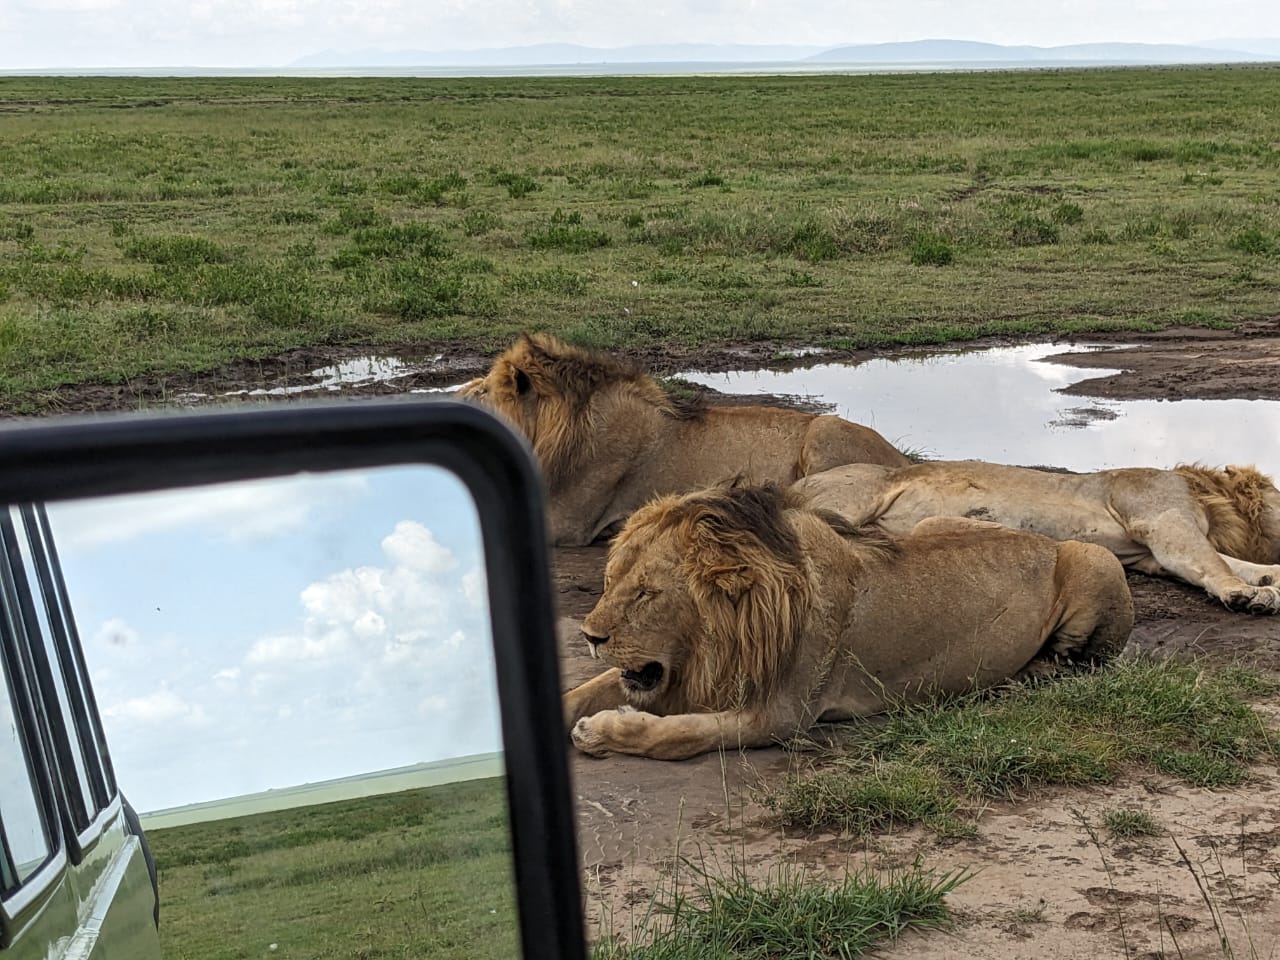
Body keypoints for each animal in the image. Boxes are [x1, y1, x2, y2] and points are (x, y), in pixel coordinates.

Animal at [562, 479, 1133, 760]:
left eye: (647, 593)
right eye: (610, 580)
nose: (590, 636)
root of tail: (1044, 537)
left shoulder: (782, 715)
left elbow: (678, 736)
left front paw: (602, 731)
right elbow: (586, 690)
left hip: (1096, 559)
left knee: (1082, 660)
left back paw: (1026, 675)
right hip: (929, 523)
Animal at [793, 460, 1280, 614]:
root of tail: (799, 482)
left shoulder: (1153, 553)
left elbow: (1229, 563)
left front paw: (1267, 578)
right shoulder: (1163, 521)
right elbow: (1215, 563)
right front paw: (1244, 593)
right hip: (852, 498)